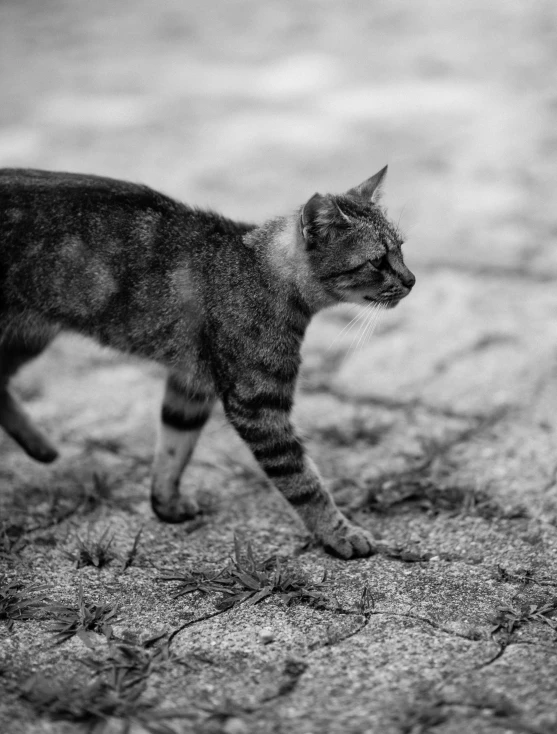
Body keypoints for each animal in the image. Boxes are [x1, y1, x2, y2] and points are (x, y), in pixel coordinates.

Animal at [0, 165, 412, 556]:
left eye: (402, 249)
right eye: (378, 261)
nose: (411, 280)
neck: (260, 271)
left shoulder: (190, 383)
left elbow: (173, 447)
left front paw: (165, 502)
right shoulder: (257, 405)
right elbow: (303, 481)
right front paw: (339, 533)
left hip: (26, 338)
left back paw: (41, 447)